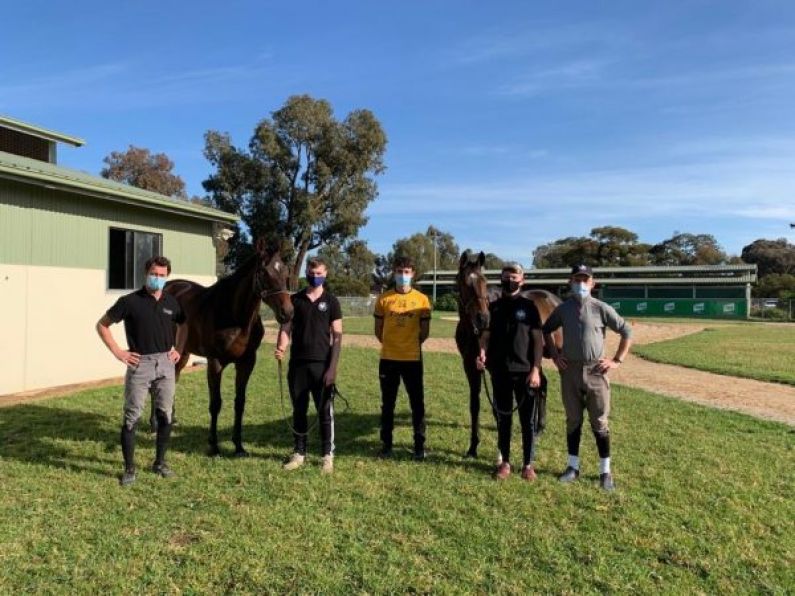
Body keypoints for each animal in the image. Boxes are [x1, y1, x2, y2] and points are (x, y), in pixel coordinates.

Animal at [166, 237, 296, 456]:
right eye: (264, 272)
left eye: (286, 271)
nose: (287, 313)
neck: (234, 315)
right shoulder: (215, 363)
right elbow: (216, 404)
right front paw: (214, 446)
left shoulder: (246, 362)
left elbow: (240, 402)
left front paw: (238, 446)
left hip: (182, 354)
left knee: (173, 378)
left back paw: (171, 419)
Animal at [458, 249, 564, 458]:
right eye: (465, 283)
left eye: (484, 281)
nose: (483, 319)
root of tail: (555, 299)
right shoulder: (470, 367)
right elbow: (475, 406)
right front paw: (473, 447)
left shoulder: (495, 370)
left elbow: (498, 408)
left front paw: (500, 450)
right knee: (541, 385)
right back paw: (538, 427)